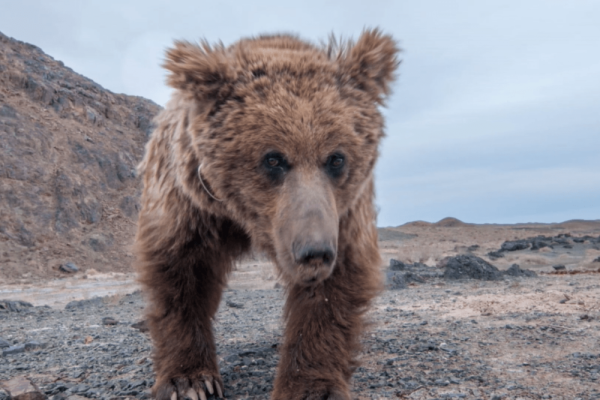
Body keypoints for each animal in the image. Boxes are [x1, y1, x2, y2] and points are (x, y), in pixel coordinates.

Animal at [135, 28, 398, 400]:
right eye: (273, 159)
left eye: (336, 158)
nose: (314, 251)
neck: (244, 218)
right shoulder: (189, 202)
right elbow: (180, 274)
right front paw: (189, 381)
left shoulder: (343, 212)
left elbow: (335, 285)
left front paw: (310, 386)